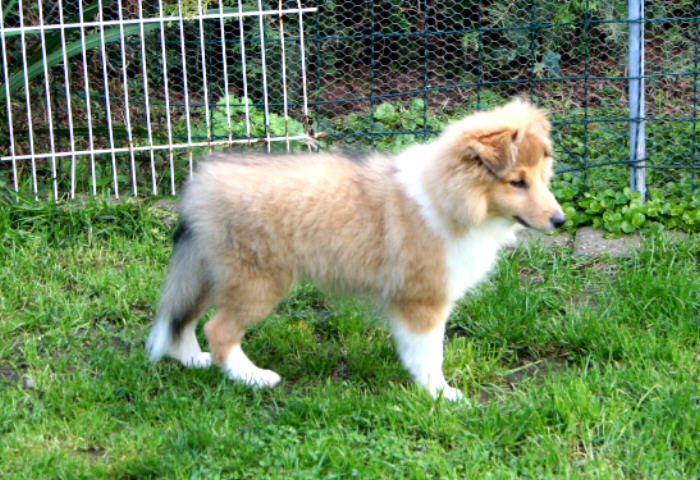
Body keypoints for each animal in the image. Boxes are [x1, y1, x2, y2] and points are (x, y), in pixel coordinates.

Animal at [146, 99, 565, 401]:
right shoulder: (423, 299)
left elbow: (415, 350)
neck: (447, 196)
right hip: (257, 279)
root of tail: (200, 184)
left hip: (213, 270)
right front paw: (441, 395)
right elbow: (430, 353)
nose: (560, 220)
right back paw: (253, 377)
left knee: (182, 318)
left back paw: (192, 360)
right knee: (218, 329)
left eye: (541, 177)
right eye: (517, 182)